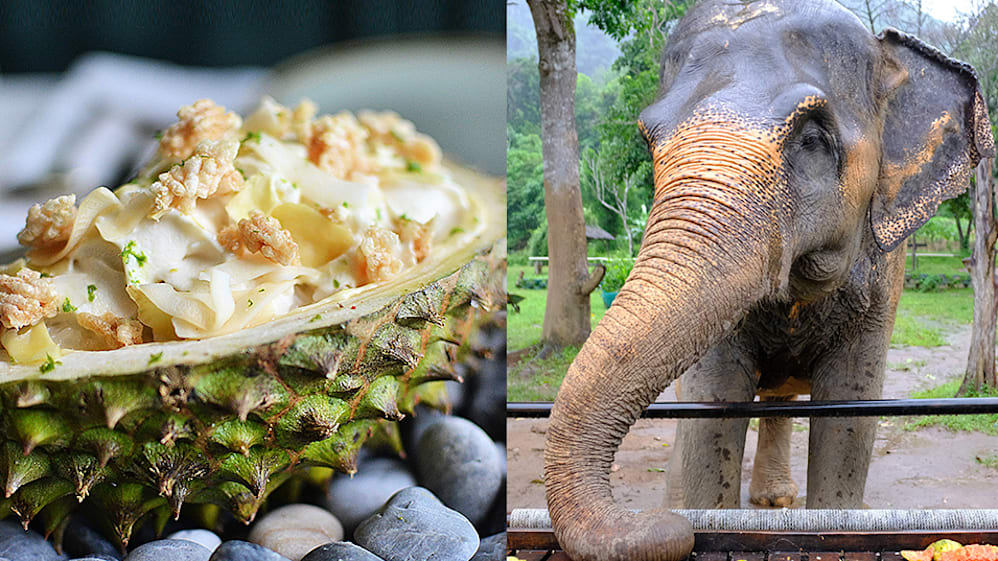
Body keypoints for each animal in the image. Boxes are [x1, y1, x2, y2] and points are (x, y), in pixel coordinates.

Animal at [543, 1, 995, 561]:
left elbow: (849, 407)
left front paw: (837, 522)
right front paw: (703, 519)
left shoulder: (885, 277)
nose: (656, 524)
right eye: (649, 141)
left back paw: (775, 501)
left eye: (813, 139)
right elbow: (713, 401)